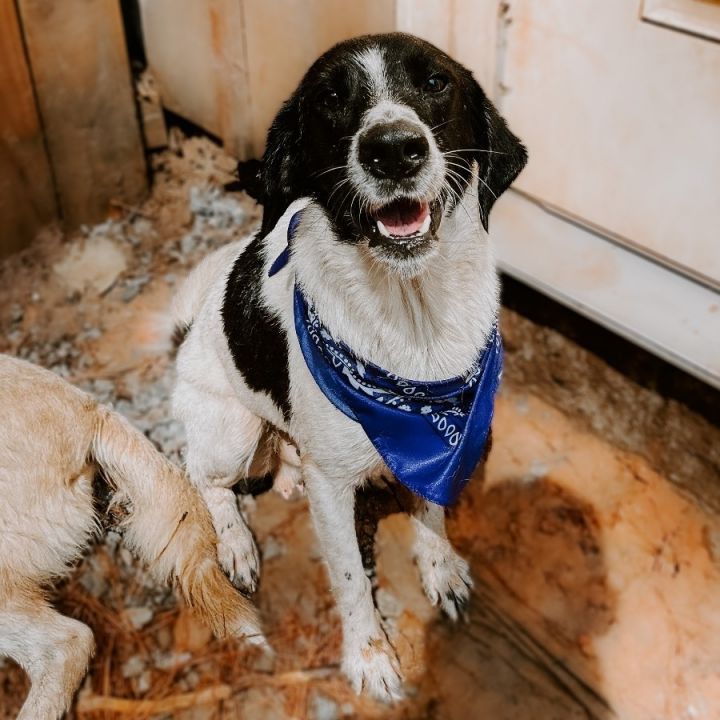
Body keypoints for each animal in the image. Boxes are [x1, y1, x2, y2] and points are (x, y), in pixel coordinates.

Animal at [172, 32, 524, 696]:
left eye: (436, 82)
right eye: (331, 98)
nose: (394, 150)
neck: (412, 316)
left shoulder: (443, 448)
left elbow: (432, 509)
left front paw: (440, 567)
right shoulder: (333, 488)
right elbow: (350, 578)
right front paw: (369, 657)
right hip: (232, 428)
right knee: (202, 477)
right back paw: (235, 545)